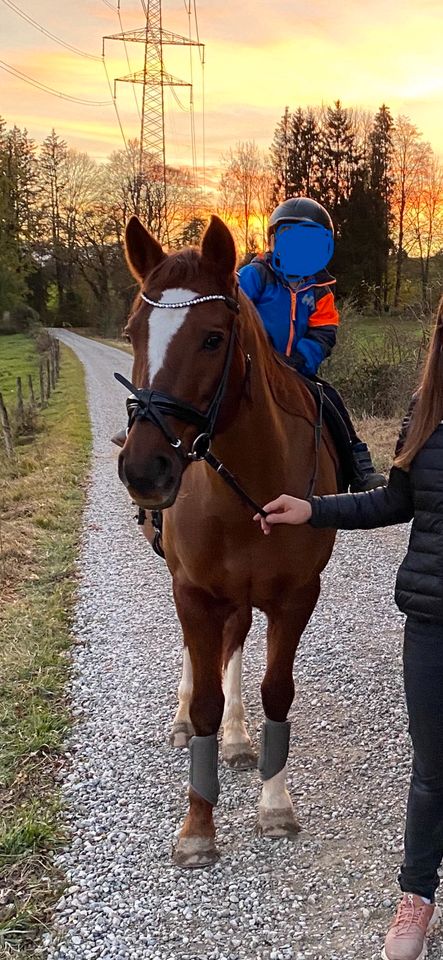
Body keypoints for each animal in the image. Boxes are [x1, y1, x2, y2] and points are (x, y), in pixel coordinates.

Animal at [118, 216, 336, 872]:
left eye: (213, 339)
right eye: (133, 333)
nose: (145, 470)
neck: (248, 485)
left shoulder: (296, 597)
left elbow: (275, 692)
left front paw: (275, 804)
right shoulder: (193, 591)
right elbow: (207, 700)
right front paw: (197, 828)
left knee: (235, 641)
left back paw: (239, 740)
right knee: (203, 659)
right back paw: (185, 719)